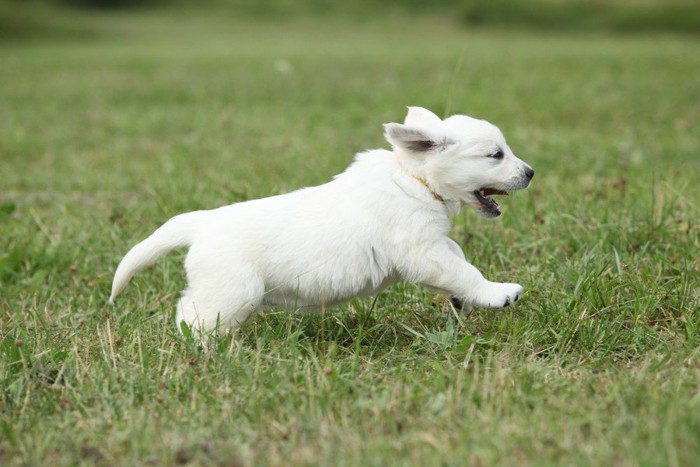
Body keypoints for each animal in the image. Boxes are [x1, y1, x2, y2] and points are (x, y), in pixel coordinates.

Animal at [110, 108, 536, 338]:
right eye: (495, 155)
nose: (531, 172)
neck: (414, 179)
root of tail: (201, 223)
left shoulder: (431, 242)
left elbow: (458, 254)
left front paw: (460, 300)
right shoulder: (421, 252)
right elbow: (464, 270)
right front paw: (498, 293)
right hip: (232, 294)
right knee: (191, 318)